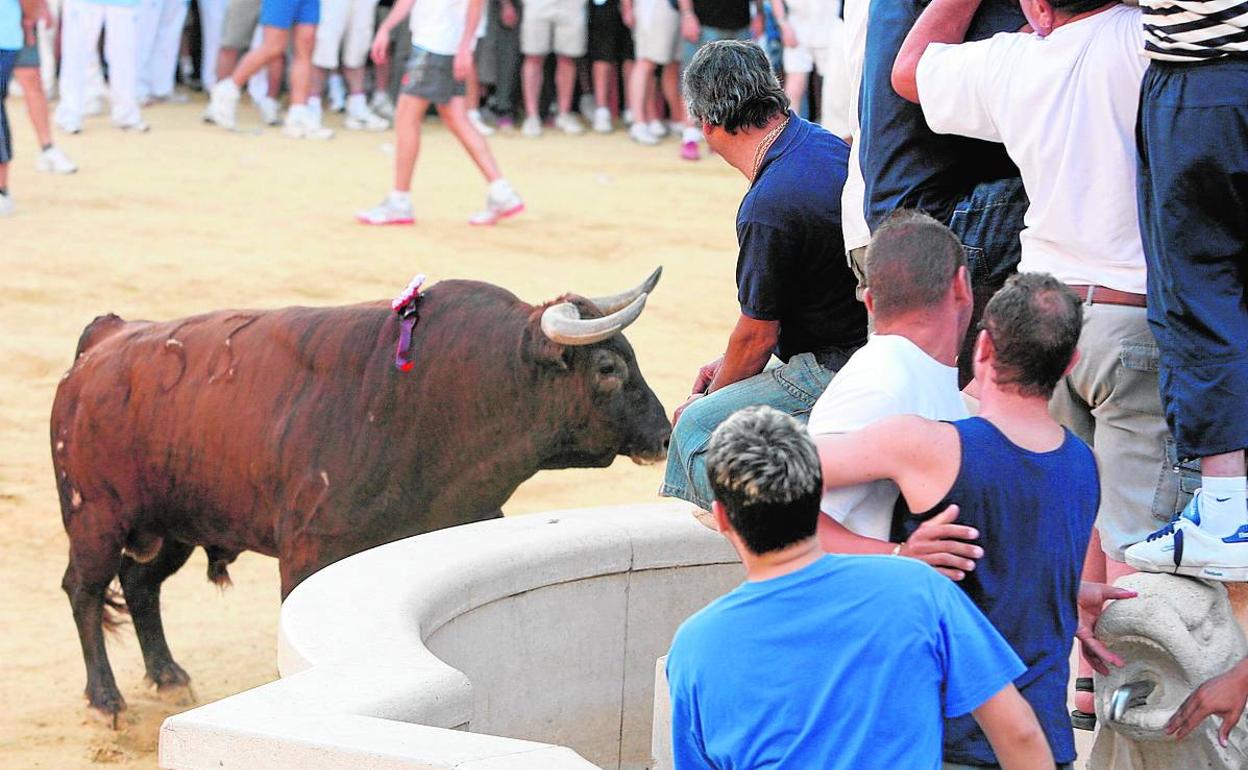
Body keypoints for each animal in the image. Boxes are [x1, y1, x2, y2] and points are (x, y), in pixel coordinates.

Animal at [51, 270, 673, 718]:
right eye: (609, 366)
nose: (665, 435)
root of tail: (106, 339)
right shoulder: (309, 549)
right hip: (97, 518)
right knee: (84, 591)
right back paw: (105, 699)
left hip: (172, 524)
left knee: (140, 585)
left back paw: (169, 677)